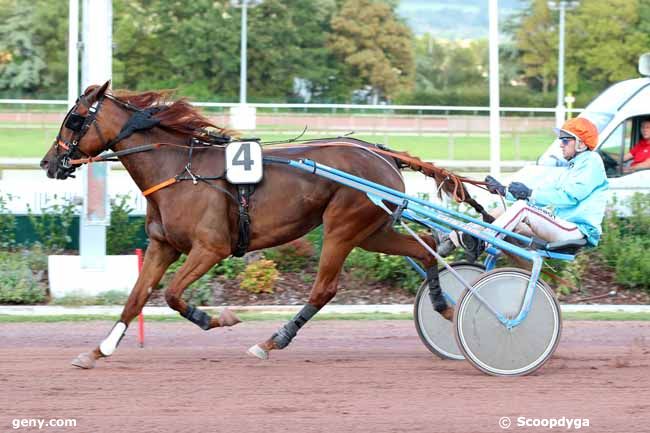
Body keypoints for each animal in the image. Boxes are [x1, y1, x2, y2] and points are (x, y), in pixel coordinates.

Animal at [40, 82, 486, 368]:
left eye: (75, 119)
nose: (48, 162)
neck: (179, 169)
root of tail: (381, 153)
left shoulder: (210, 248)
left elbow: (172, 295)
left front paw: (217, 319)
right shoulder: (162, 246)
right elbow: (136, 298)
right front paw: (98, 350)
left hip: (343, 227)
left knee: (324, 289)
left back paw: (272, 342)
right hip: (372, 230)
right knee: (424, 246)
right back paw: (445, 306)